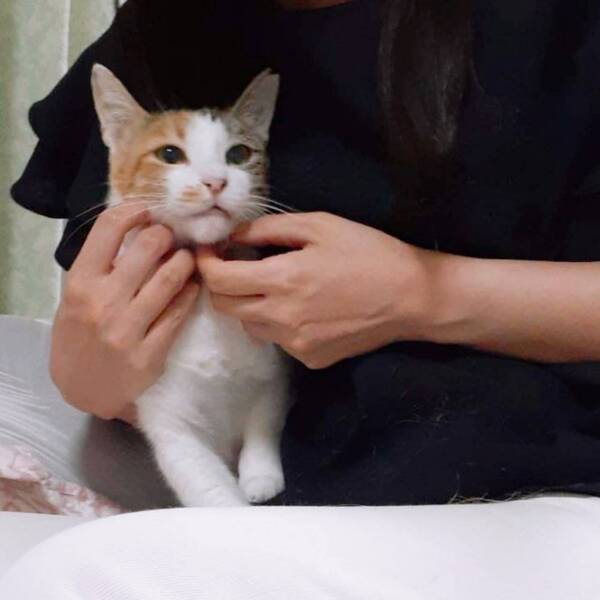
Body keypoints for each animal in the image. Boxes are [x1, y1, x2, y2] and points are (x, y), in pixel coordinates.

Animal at [91, 64, 290, 507]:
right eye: (169, 154)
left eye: (238, 154)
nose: (215, 181)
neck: (203, 306)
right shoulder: (168, 418)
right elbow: (208, 487)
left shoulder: (270, 374)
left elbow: (265, 420)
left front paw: (260, 475)